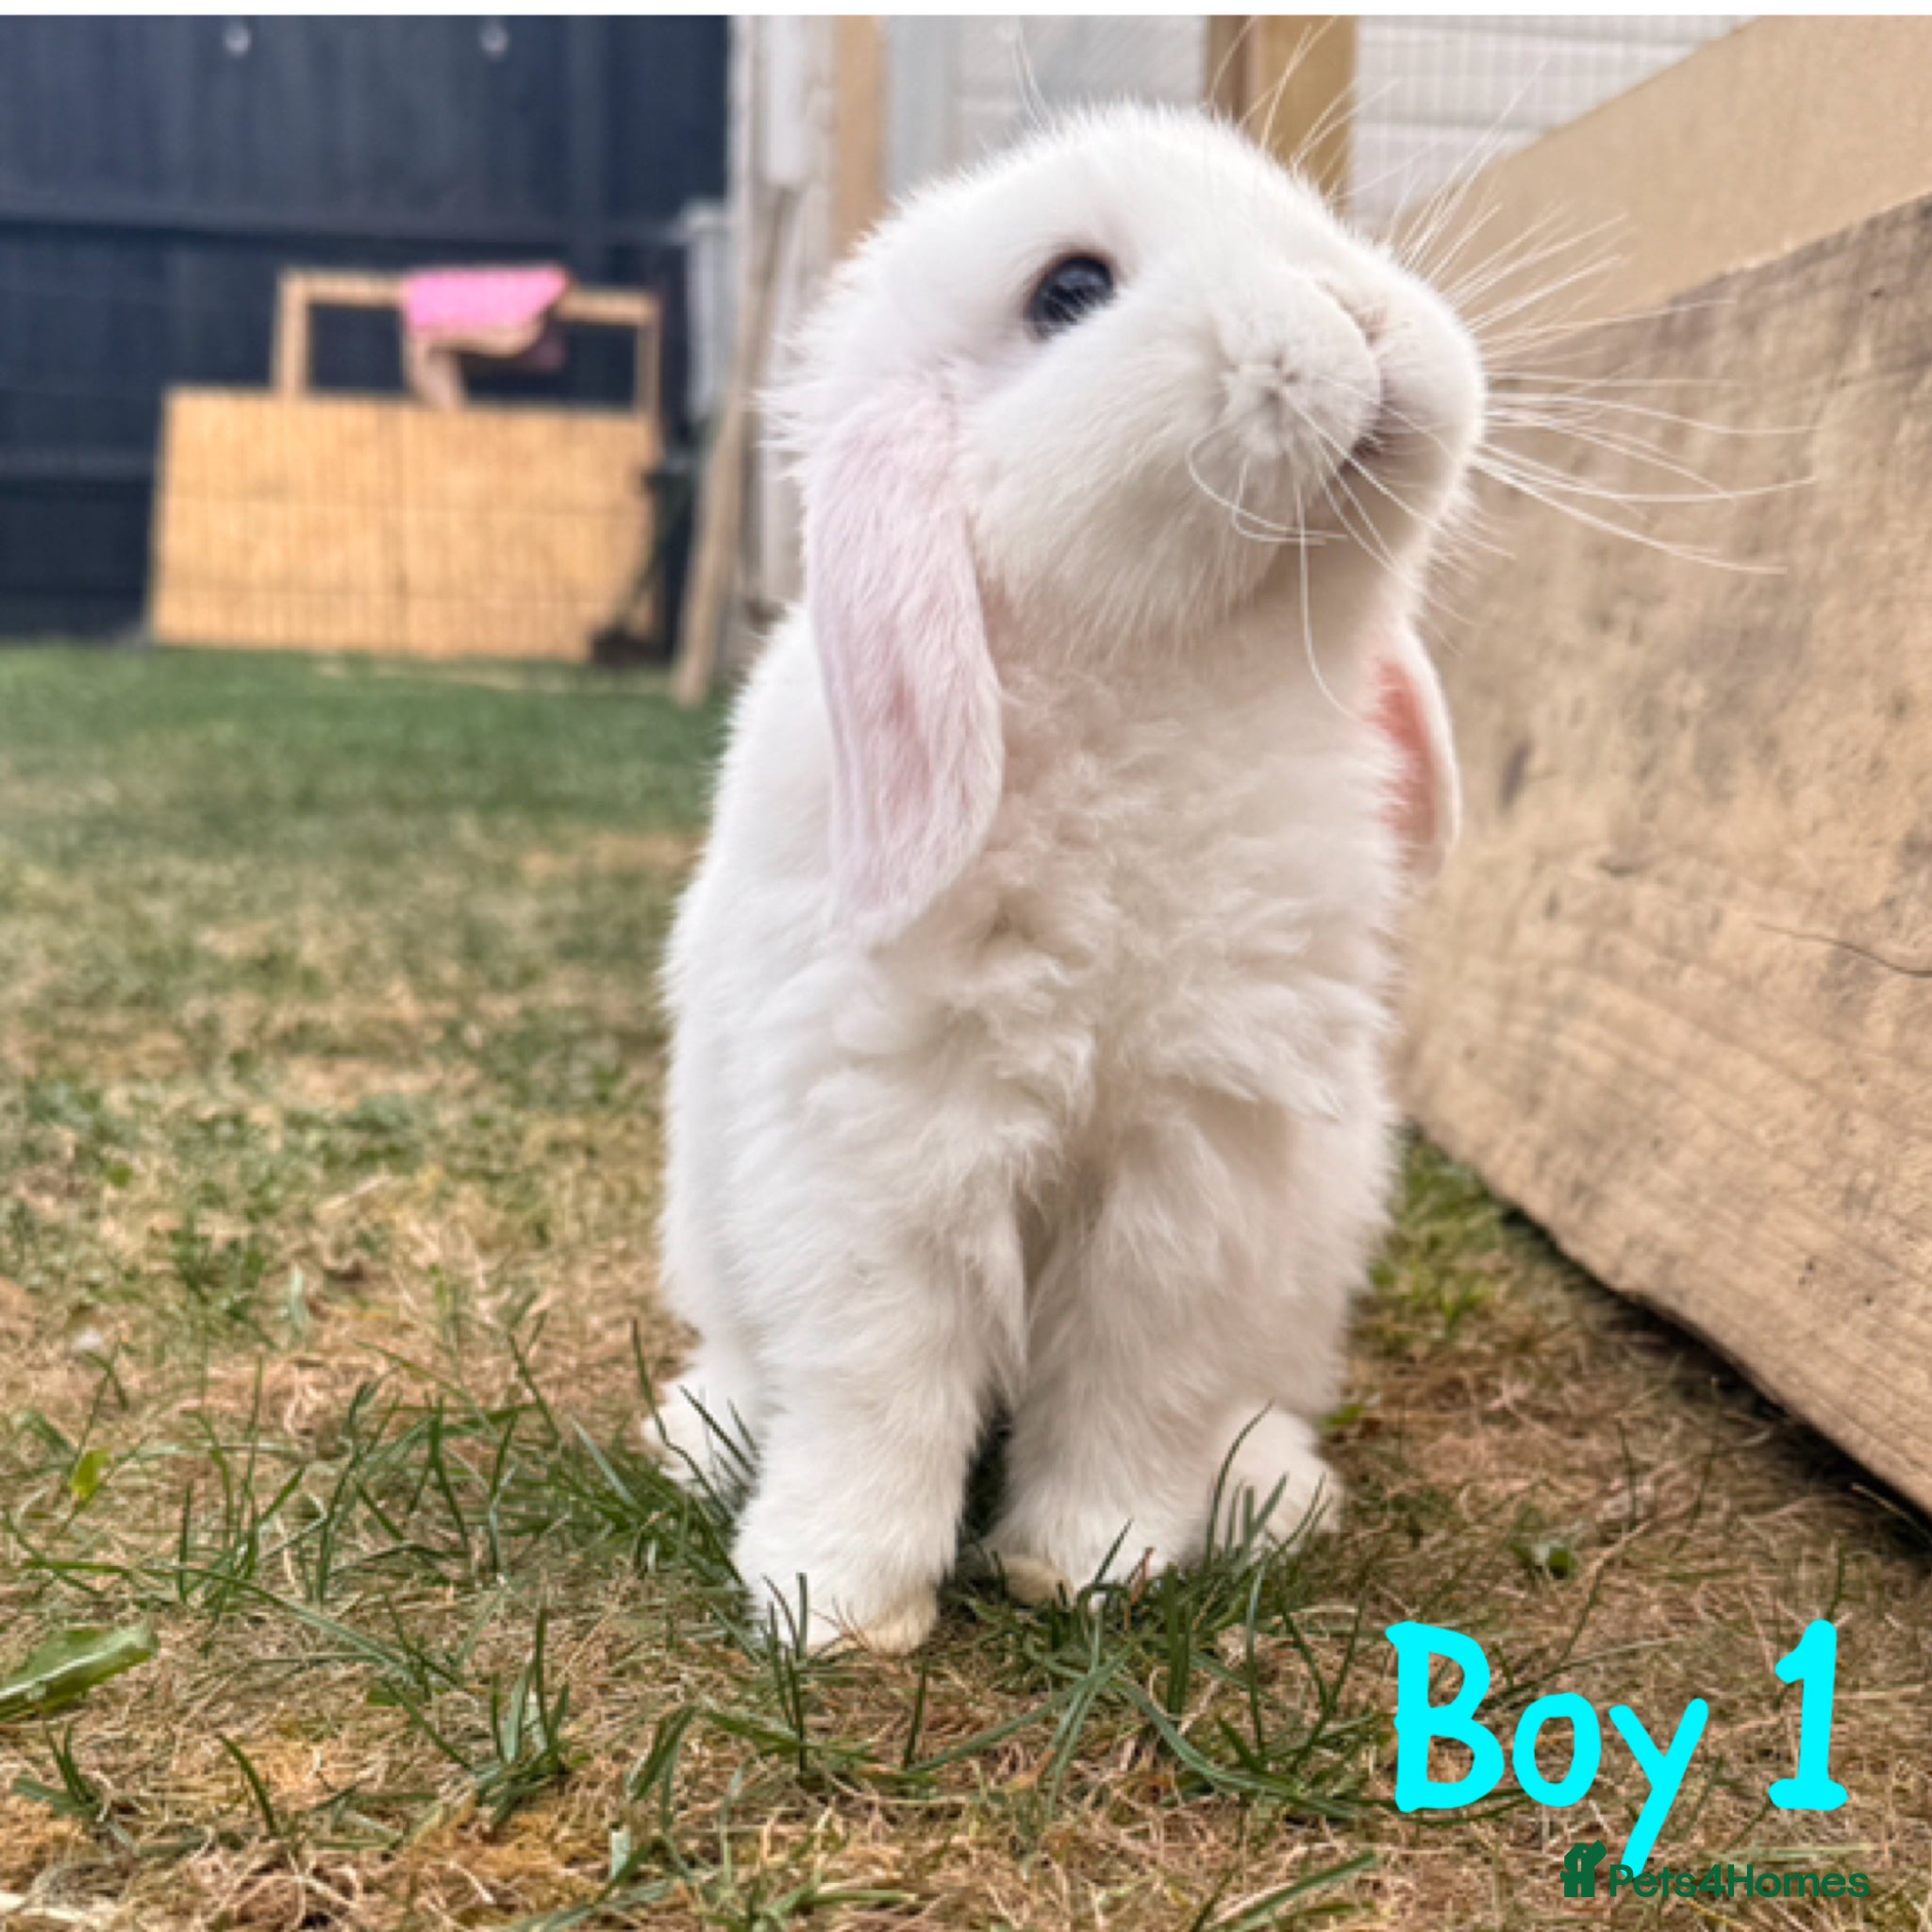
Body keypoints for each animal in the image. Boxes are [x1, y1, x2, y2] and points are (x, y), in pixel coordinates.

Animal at [651, 104, 1482, 1653]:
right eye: (1071, 291)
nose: (1359, 313)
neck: (1164, 679)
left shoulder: (1196, 1163)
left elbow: (1133, 1385)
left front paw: (1091, 1567)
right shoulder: (886, 1146)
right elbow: (877, 1380)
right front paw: (833, 1603)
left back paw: (1270, 1491)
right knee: (757, 1358)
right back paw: (701, 1435)